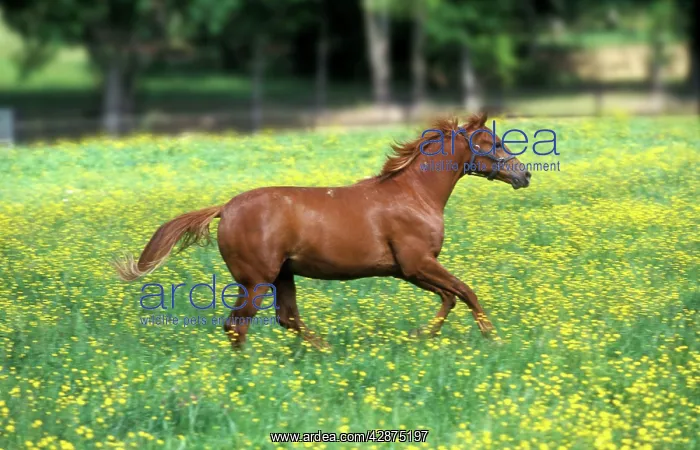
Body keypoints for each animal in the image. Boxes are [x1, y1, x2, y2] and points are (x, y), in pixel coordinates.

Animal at [114, 112, 531, 350]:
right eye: (494, 142)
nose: (523, 175)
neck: (413, 195)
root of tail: (225, 208)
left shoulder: (408, 270)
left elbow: (450, 298)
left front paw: (420, 337)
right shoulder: (418, 263)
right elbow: (466, 292)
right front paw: (494, 338)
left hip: (283, 275)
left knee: (286, 319)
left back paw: (325, 350)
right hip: (256, 279)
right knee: (237, 325)